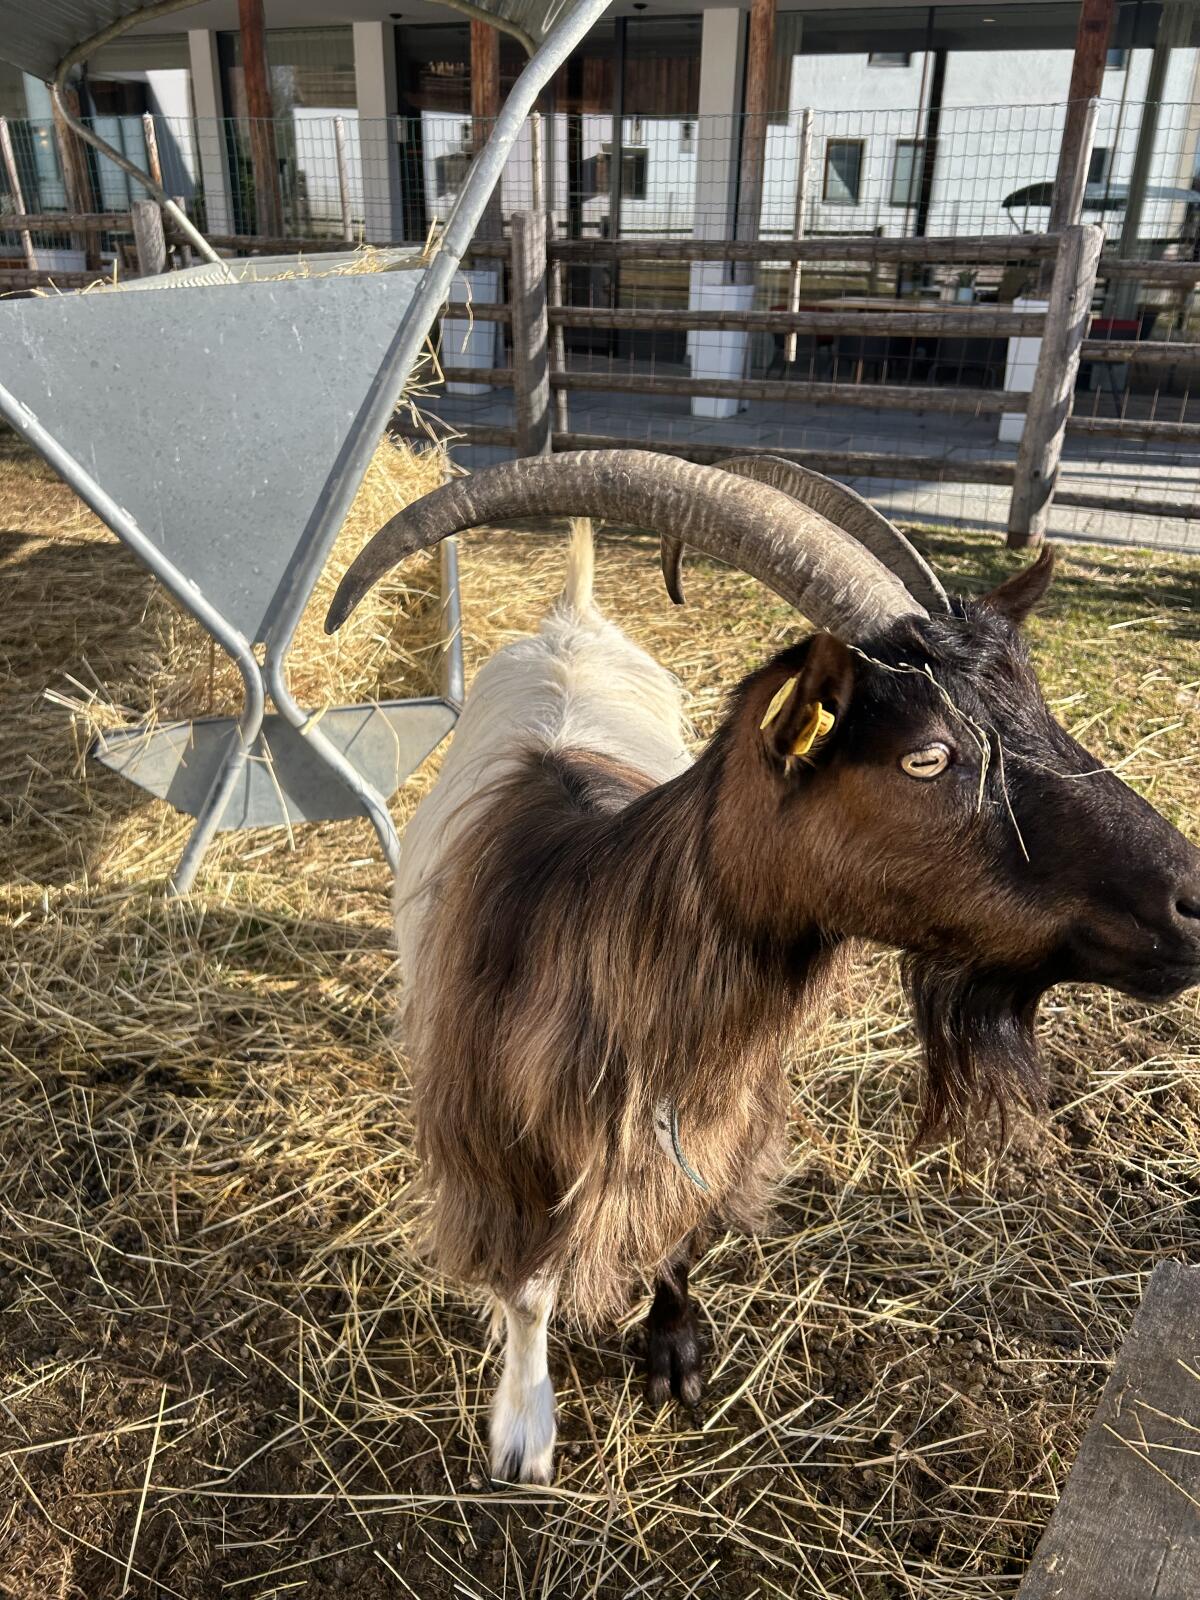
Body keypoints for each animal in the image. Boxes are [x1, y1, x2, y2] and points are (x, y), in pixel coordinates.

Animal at [327, 451, 1200, 1485]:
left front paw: (674, 1351)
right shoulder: (493, 1144)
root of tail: (572, 616)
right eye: (927, 757)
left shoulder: (716, 1122)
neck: (595, 920)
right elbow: (531, 1286)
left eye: (1042, 707)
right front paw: (524, 1433)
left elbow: (681, 1225)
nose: (1193, 898)